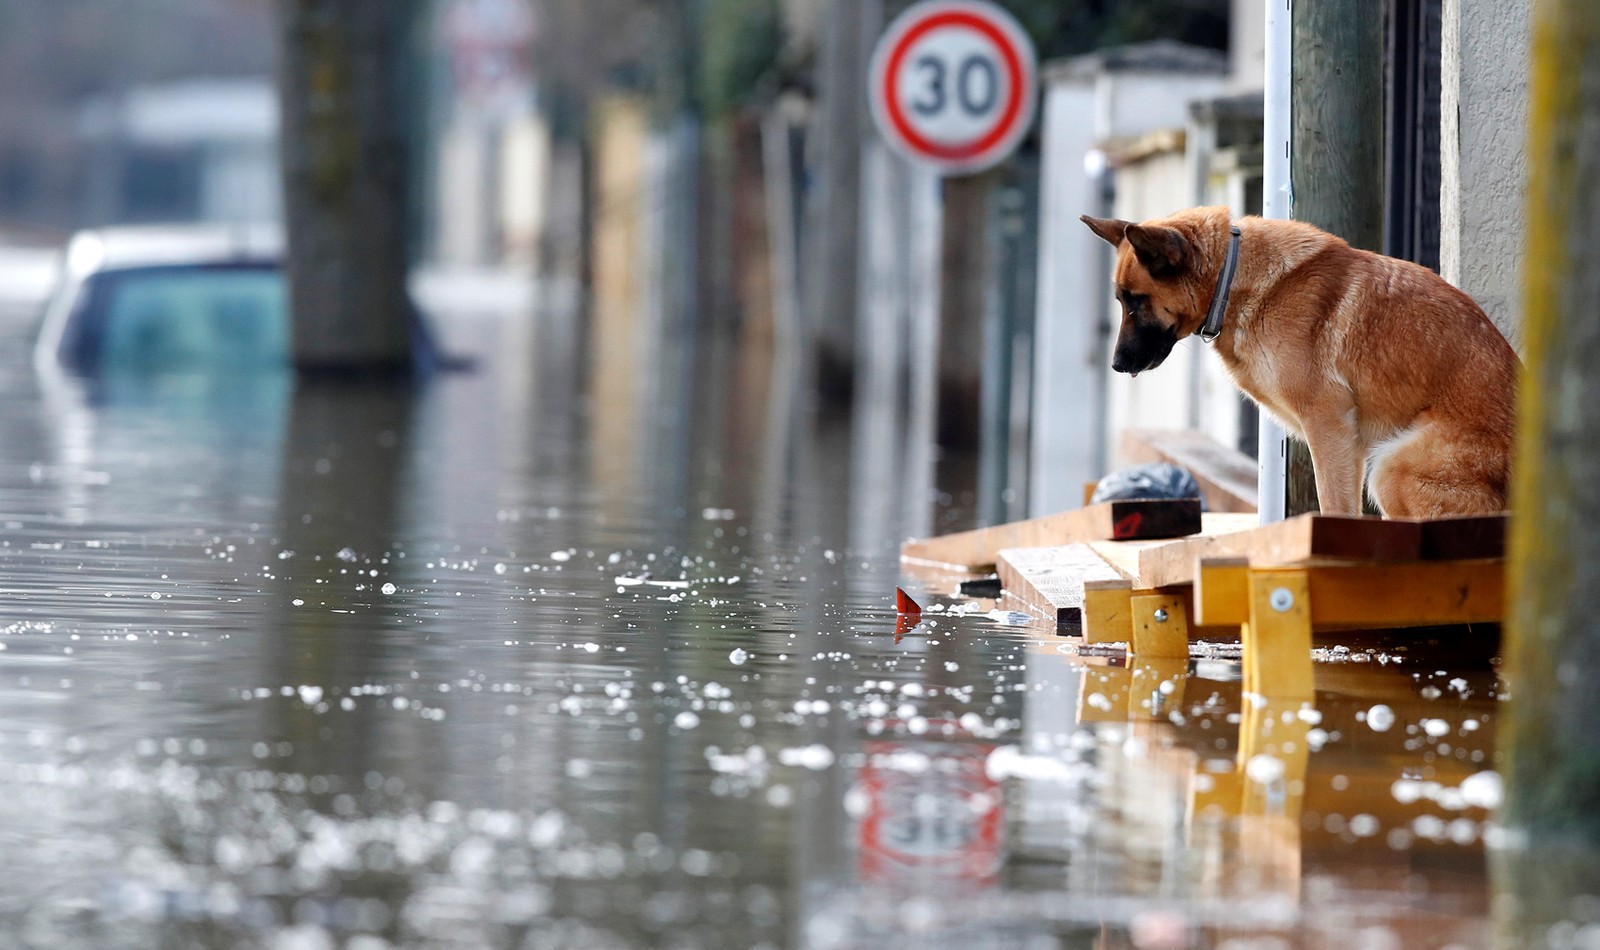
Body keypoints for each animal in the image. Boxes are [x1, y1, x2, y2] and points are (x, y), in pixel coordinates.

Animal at [1081, 207, 1516, 518]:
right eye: (1121, 300)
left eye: (1136, 301)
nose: (1116, 365)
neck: (1232, 279)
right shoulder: (1345, 443)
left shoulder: (1329, 429)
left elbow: (1335, 509)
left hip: (1391, 469)